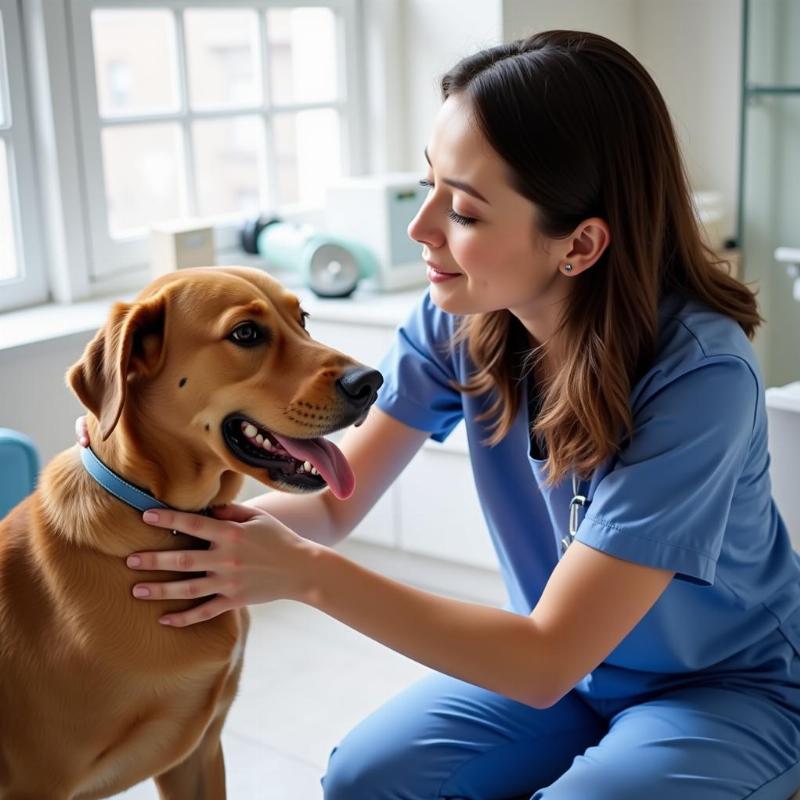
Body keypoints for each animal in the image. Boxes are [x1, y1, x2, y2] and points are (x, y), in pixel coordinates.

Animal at [0, 268, 382, 800]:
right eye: (246, 333)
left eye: (303, 317)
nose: (371, 381)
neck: (153, 512)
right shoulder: (39, 781)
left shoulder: (199, 753)